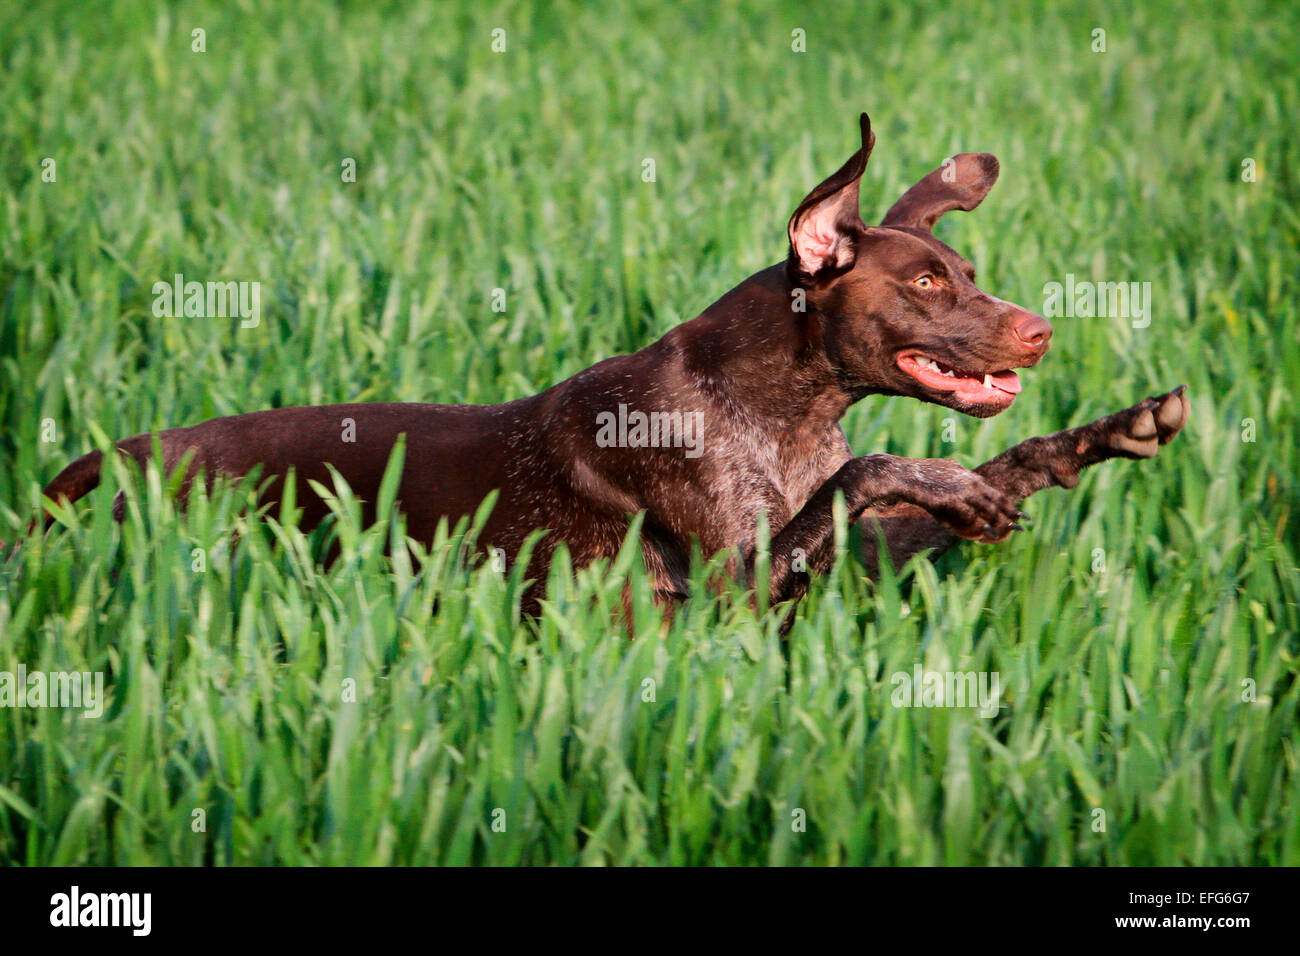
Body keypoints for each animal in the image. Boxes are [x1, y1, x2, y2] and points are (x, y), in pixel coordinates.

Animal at [32, 111, 1190, 616]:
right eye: (925, 285)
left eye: (967, 273)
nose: (1039, 332)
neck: (779, 406)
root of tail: (103, 461)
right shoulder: (732, 586)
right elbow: (874, 470)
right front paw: (951, 475)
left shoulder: (837, 564)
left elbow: (953, 478)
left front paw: (1093, 437)